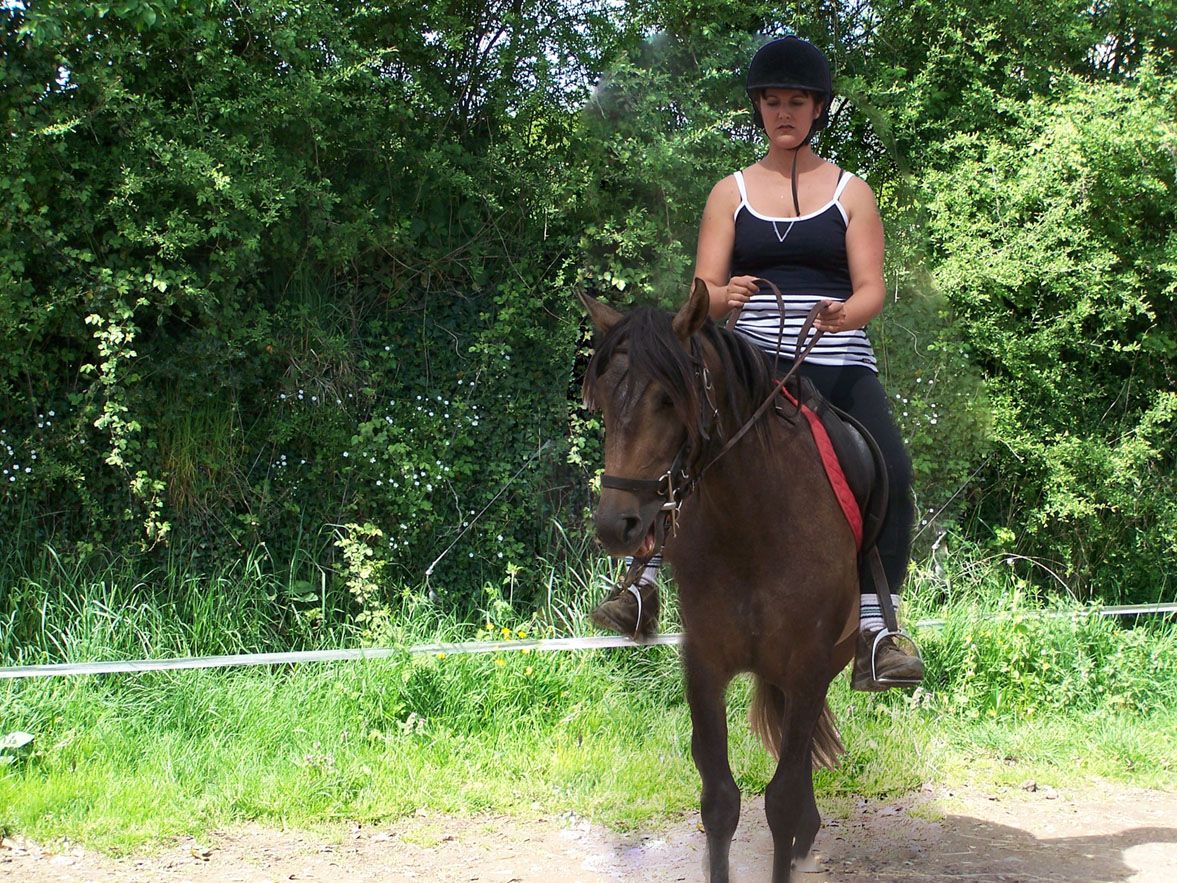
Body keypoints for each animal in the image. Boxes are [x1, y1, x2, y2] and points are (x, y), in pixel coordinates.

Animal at [579, 278, 860, 882]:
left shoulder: (807, 667)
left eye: (669, 399)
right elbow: (719, 801)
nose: (616, 525)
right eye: (606, 403)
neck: (751, 524)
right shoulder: (704, 665)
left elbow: (780, 800)